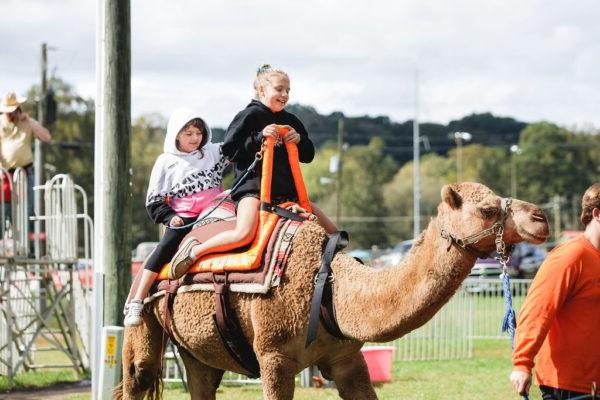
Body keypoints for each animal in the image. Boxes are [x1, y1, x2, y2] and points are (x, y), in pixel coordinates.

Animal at [116, 183, 548, 398]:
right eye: (488, 210)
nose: (541, 218)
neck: (331, 291)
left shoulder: (347, 358)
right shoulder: (274, 357)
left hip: (198, 353)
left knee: (200, 379)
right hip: (144, 323)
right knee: (137, 378)